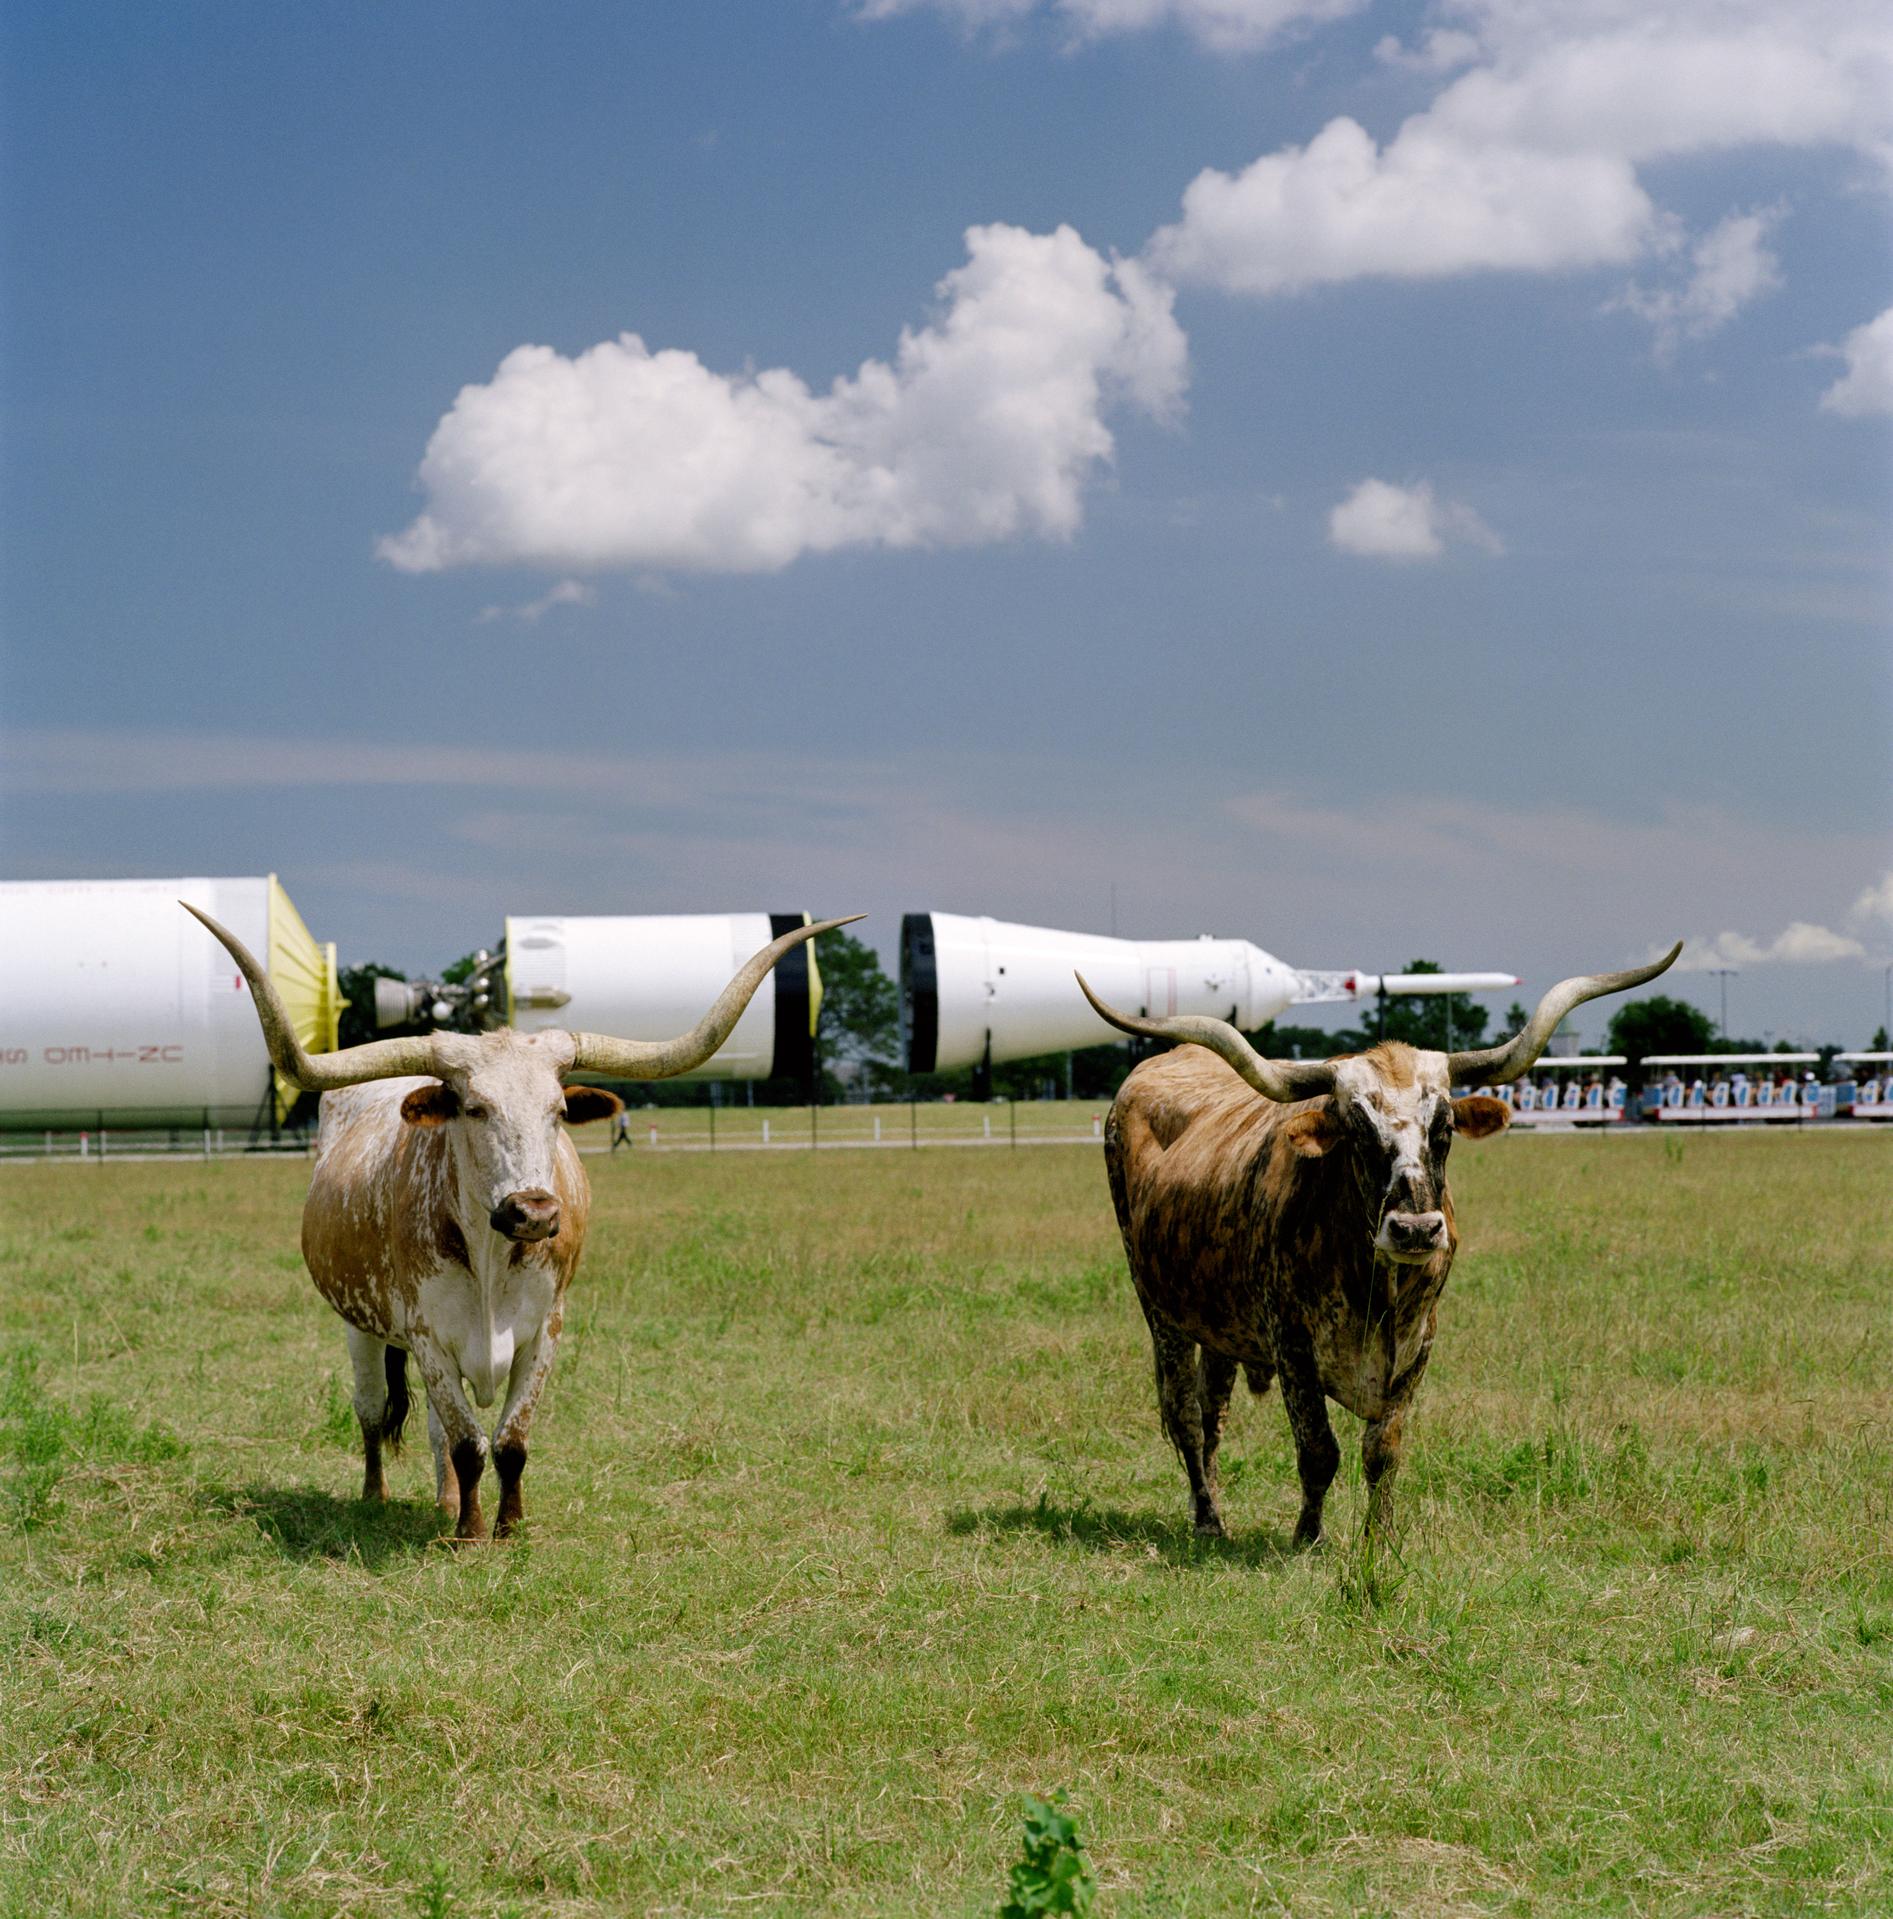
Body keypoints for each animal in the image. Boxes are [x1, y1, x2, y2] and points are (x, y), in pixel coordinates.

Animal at [186, 901, 856, 1542]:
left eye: (557, 1110)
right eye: (474, 1109)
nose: (533, 1210)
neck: (489, 1259)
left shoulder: (545, 1333)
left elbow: (507, 1443)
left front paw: (506, 1528)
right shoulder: (427, 1338)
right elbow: (467, 1442)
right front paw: (471, 1533)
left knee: (433, 1433)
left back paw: (445, 1501)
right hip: (359, 1326)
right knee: (373, 1411)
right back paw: (377, 1496)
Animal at [1067, 944, 1674, 1542]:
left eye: (1444, 1129)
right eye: (1357, 1132)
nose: (1415, 1229)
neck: (1376, 1283)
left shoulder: (1419, 1343)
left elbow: (1383, 1450)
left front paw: (1378, 1541)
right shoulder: (1291, 1342)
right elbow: (1318, 1449)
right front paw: (1307, 1538)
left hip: (1219, 1323)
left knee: (1212, 1410)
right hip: (1159, 1308)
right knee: (1186, 1418)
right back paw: (1208, 1519)